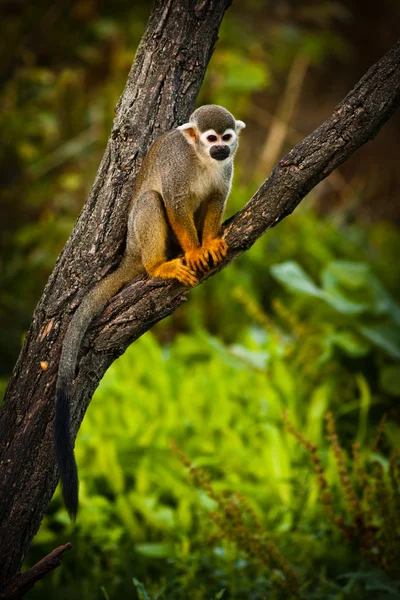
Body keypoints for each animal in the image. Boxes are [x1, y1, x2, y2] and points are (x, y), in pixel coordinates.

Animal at [54, 104, 245, 516]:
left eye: (227, 138)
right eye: (211, 138)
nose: (222, 149)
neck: (201, 159)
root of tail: (130, 252)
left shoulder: (226, 172)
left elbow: (215, 201)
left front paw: (210, 242)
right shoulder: (177, 165)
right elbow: (173, 202)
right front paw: (195, 250)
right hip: (140, 239)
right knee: (150, 202)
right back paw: (160, 266)